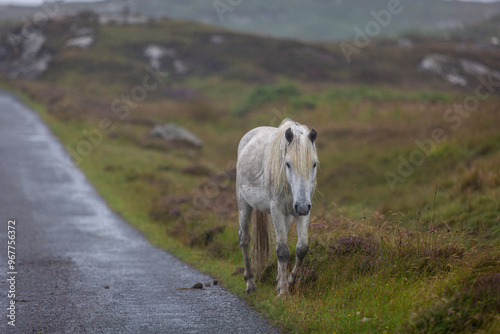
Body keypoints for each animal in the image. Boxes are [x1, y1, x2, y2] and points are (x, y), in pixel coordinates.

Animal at [237, 118, 316, 294]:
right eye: (288, 164)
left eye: (314, 164)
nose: (301, 206)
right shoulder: (277, 210)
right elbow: (283, 251)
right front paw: (284, 291)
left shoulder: (304, 211)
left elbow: (301, 248)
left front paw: (289, 282)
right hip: (244, 204)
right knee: (244, 239)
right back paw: (250, 283)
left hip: (288, 215)